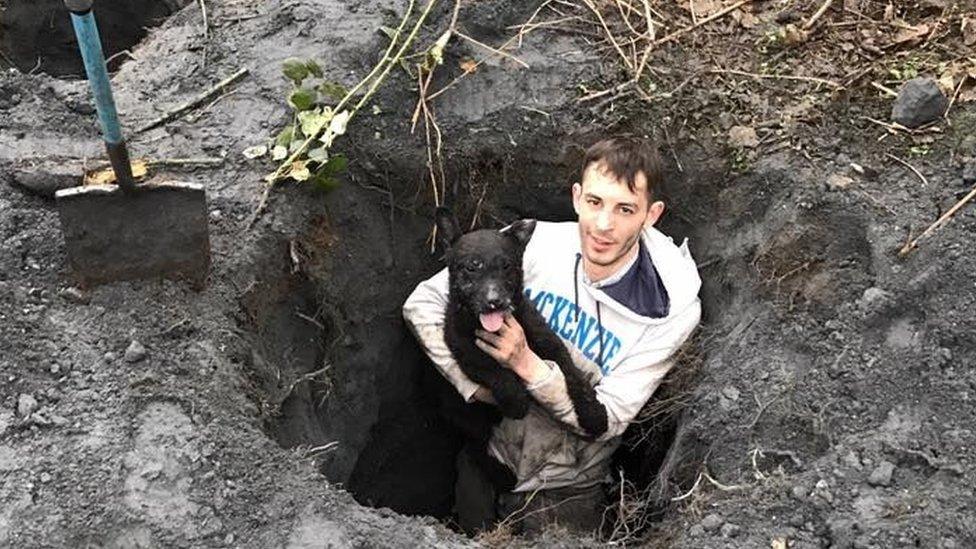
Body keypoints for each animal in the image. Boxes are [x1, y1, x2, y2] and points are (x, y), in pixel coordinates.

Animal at [436, 207, 608, 440]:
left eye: (506, 265)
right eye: (471, 267)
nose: (494, 302)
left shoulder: (550, 343)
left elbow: (573, 373)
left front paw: (594, 414)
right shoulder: (465, 352)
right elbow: (494, 370)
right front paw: (516, 400)